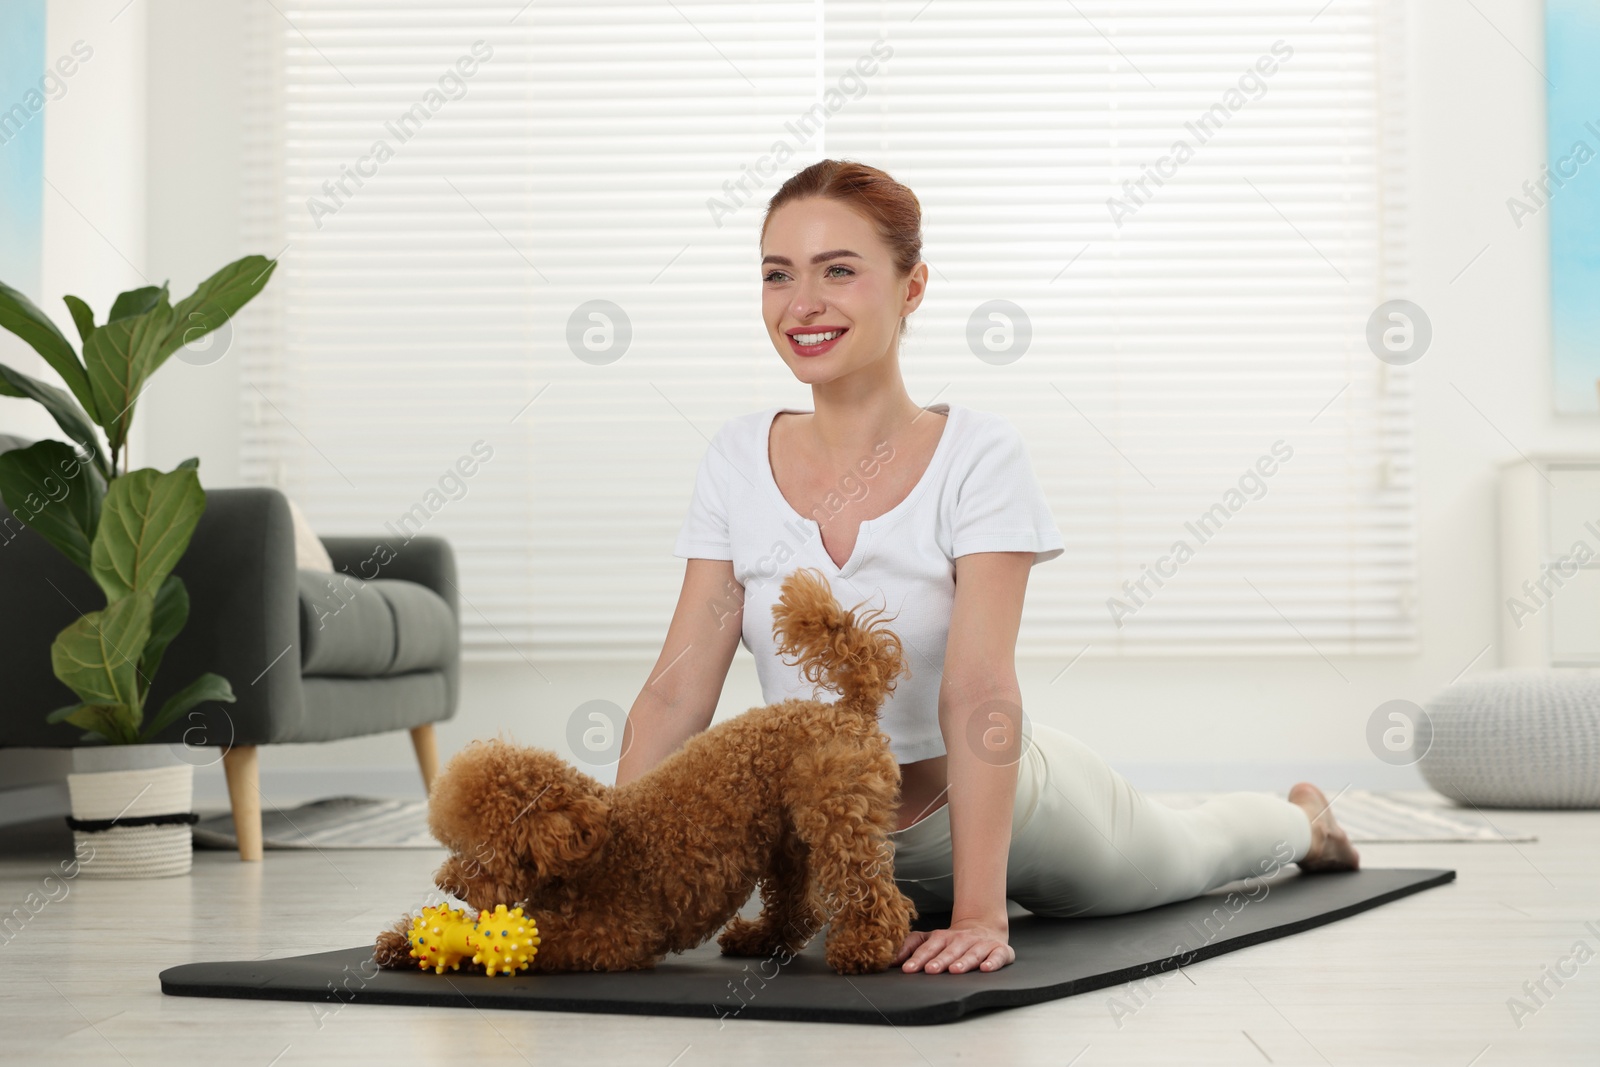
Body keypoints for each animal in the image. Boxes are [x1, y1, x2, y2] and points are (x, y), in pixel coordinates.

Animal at [369, 566, 921, 979]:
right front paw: (402, 941)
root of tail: (848, 709)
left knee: (868, 890)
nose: (452, 887)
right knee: (798, 905)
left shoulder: (611, 934)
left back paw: (865, 948)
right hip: (786, 835)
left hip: (839, 818)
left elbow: (542, 940)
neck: (595, 847)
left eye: (481, 850)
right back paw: (763, 938)